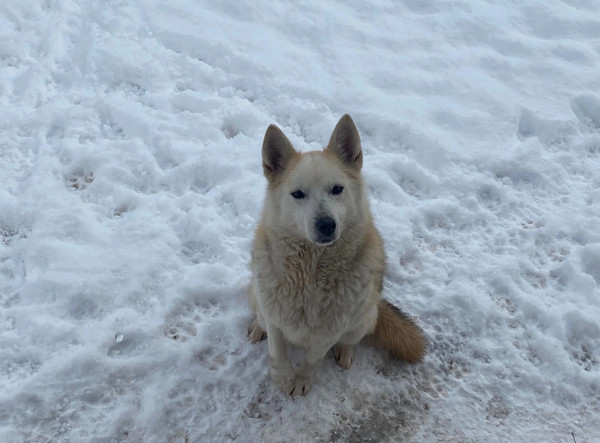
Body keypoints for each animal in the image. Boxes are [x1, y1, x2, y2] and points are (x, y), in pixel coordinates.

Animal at [246, 113, 424, 396]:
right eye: (298, 194)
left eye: (337, 189)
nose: (326, 225)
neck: (311, 273)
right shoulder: (274, 315)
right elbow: (277, 351)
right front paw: (283, 377)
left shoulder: (331, 329)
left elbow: (313, 358)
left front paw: (302, 379)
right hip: (258, 295)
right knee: (260, 317)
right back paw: (256, 328)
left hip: (364, 317)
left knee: (353, 338)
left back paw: (346, 351)